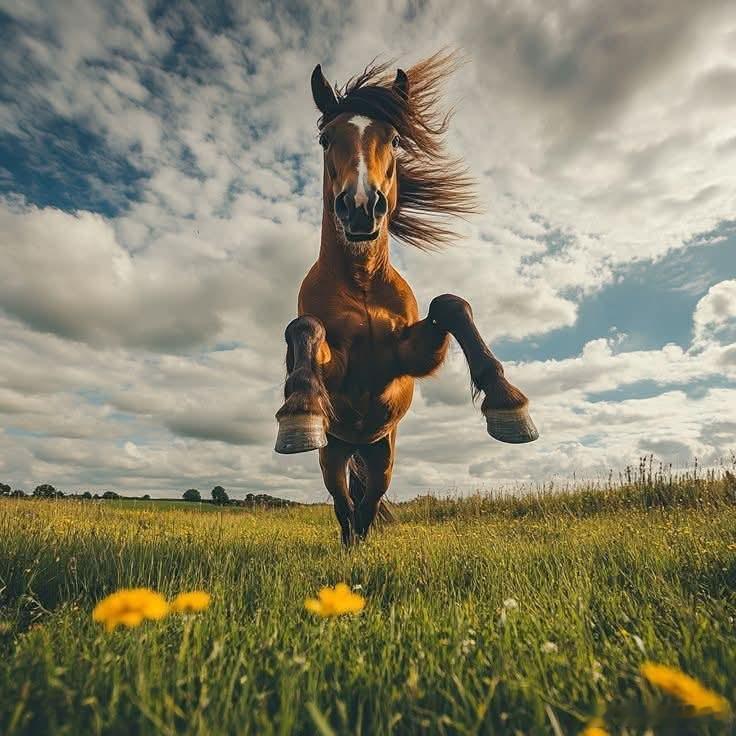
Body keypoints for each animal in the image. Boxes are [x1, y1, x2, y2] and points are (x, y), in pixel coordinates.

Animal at [275, 51, 538, 545]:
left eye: (394, 139)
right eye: (325, 138)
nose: (361, 208)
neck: (362, 286)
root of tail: (358, 446)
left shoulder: (406, 359)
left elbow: (451, 305)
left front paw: (508, 405)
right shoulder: (336, 367)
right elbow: (305, 326)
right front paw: (299, 408)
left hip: (384, 456)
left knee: (366, 505)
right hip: (333, 456)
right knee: (345, 507)